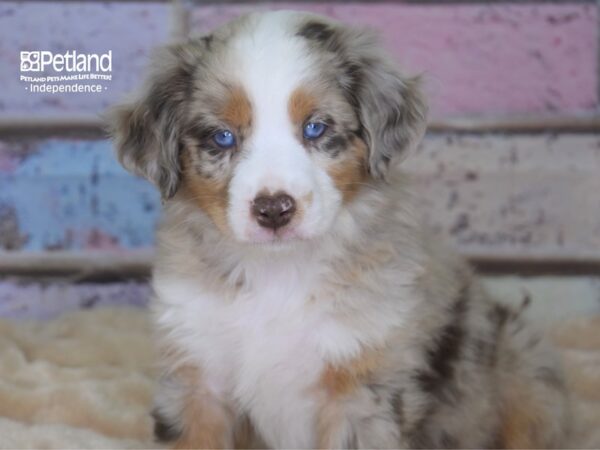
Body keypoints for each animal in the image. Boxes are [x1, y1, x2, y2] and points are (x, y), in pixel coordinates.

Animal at [109, 11, 572, 450]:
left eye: (316, 127)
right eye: (222, 137)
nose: (273, 209)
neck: (278, 274)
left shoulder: (361, 383)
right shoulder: (197, 375)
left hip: (528, 378)